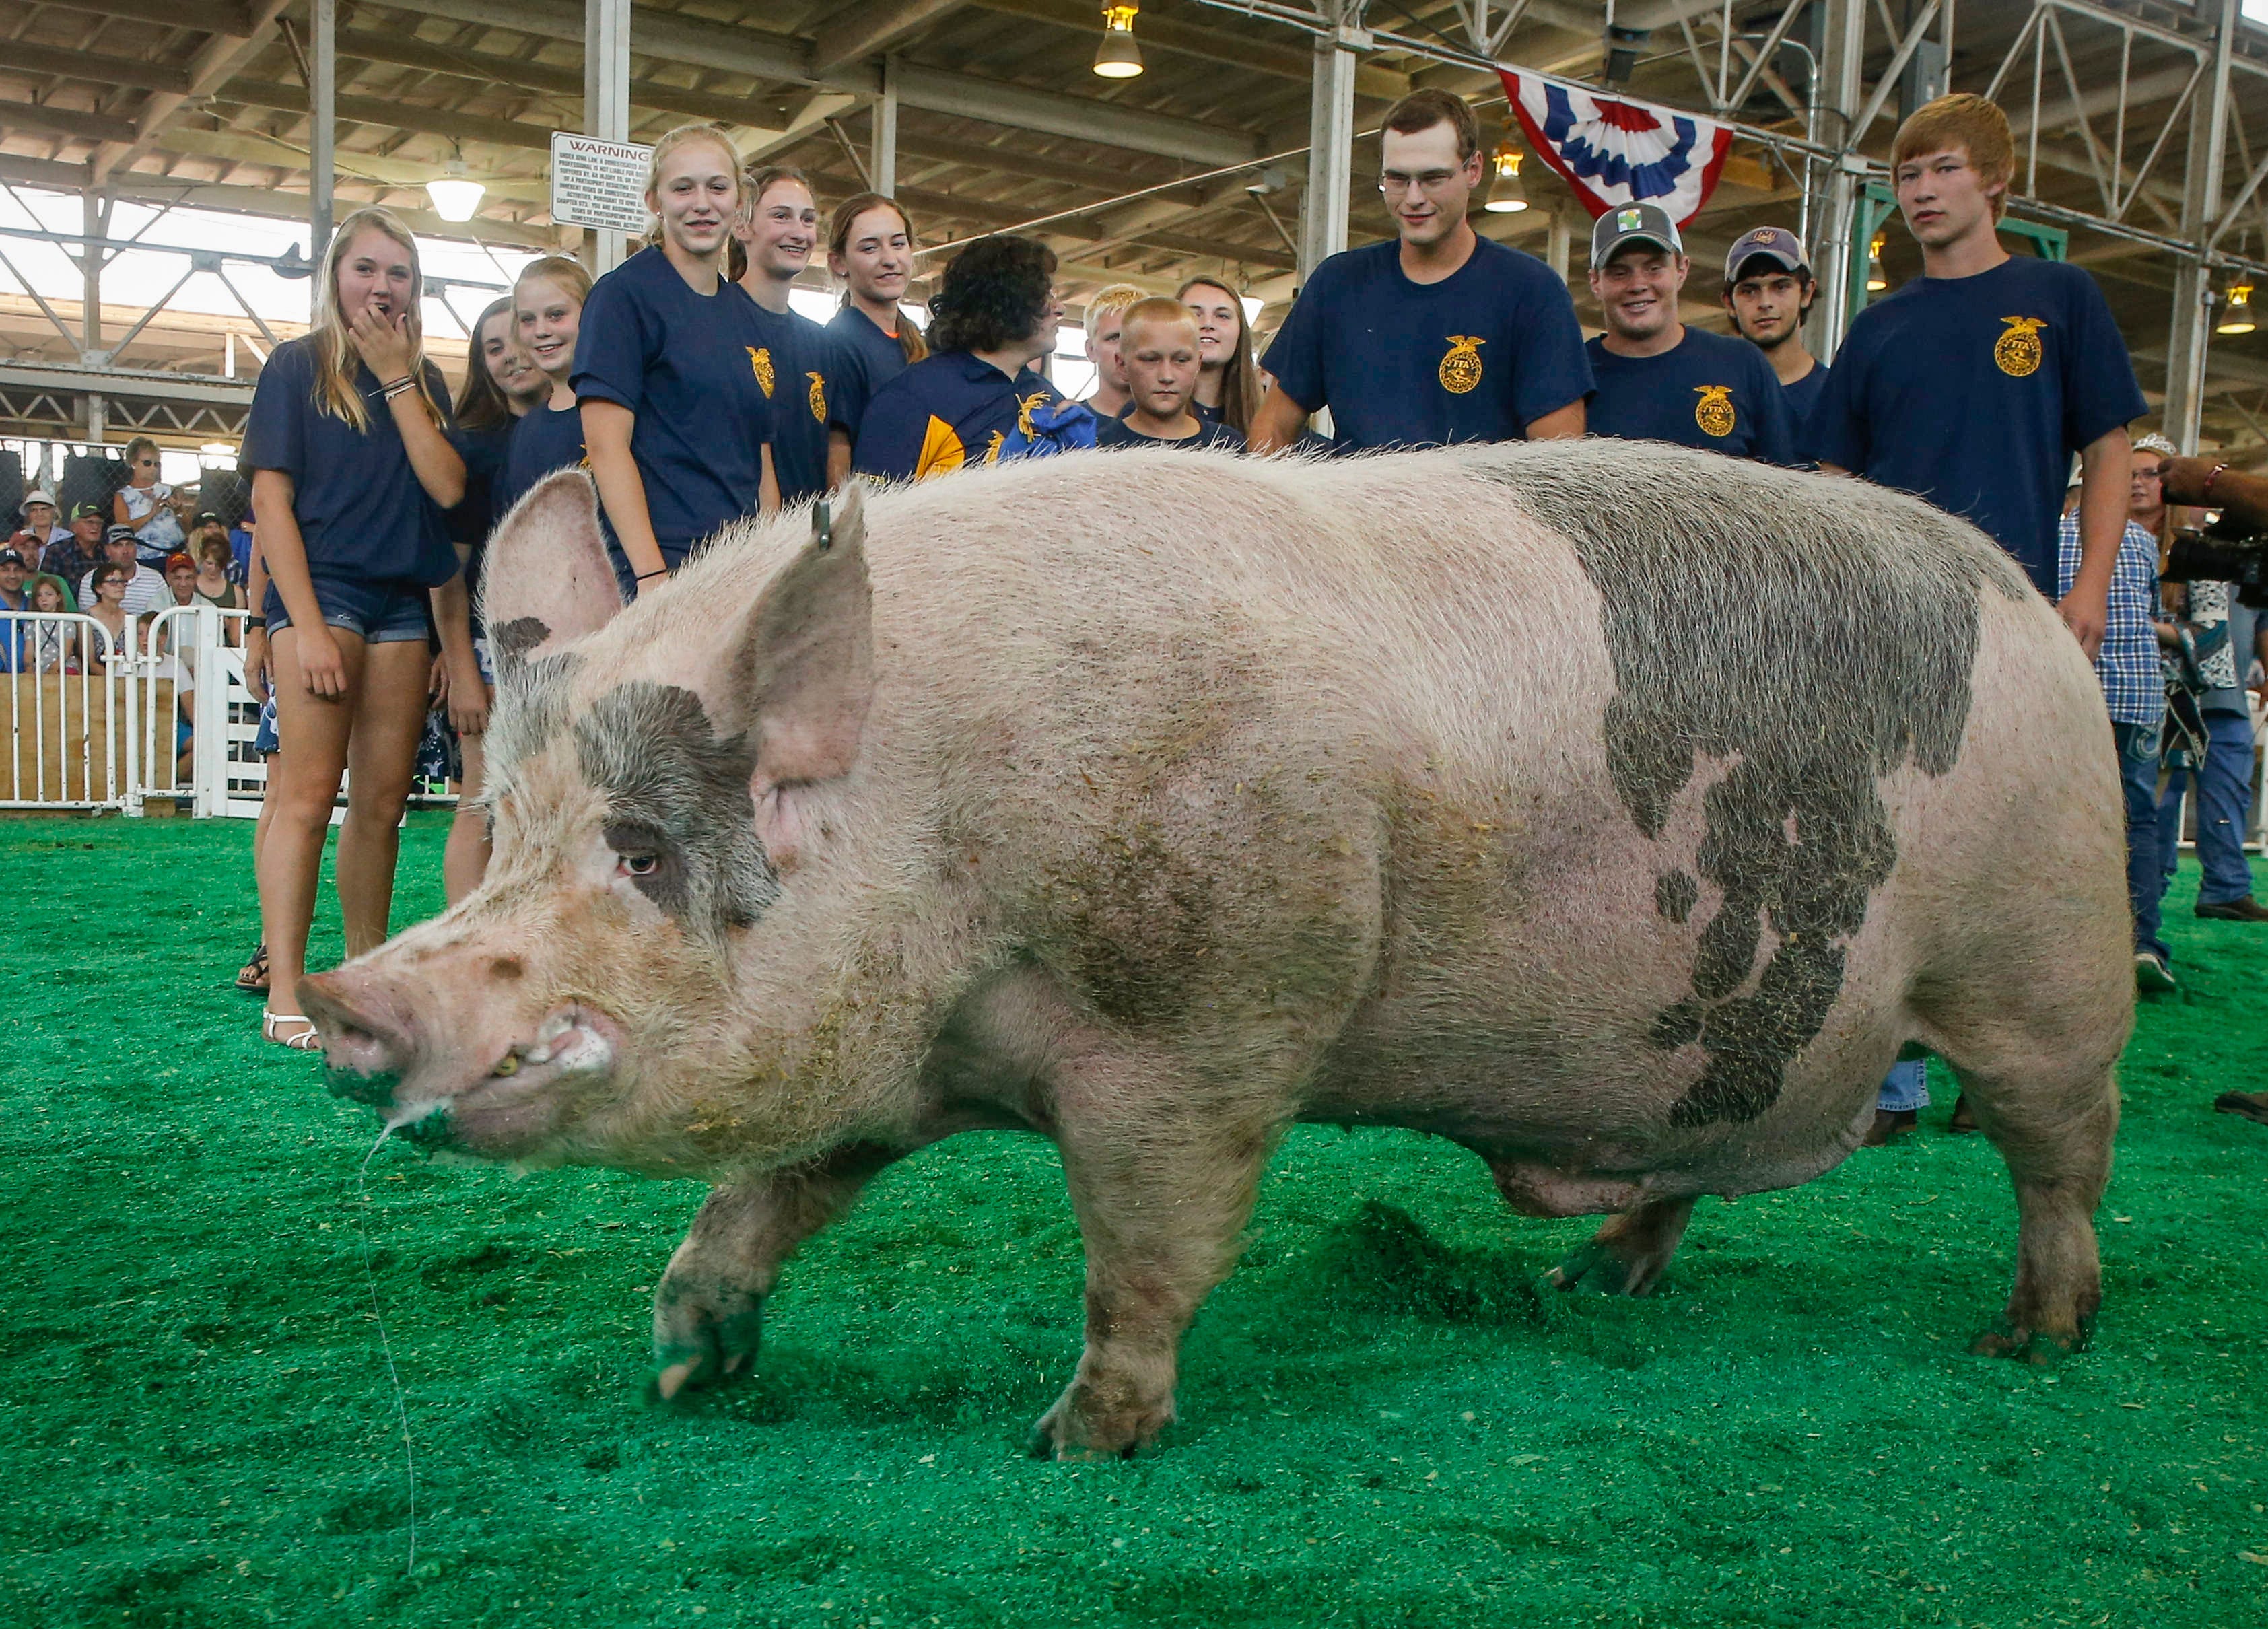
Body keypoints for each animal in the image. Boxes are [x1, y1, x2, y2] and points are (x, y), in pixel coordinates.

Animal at [306, 440, 2123, 1461]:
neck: (953, 831)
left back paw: (2029, 1342)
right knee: (1683, 1163)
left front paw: (1070, 1444)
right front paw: (690, 1365)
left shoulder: (1206, 1036)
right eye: (500, 828)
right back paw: (1588, 1282)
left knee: (2059, 1154)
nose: (340, 997)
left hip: (2040, 967)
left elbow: (1144, 1250)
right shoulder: (887, 1062)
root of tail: (2033, 603)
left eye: (644, 851)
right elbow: (769, 1192)